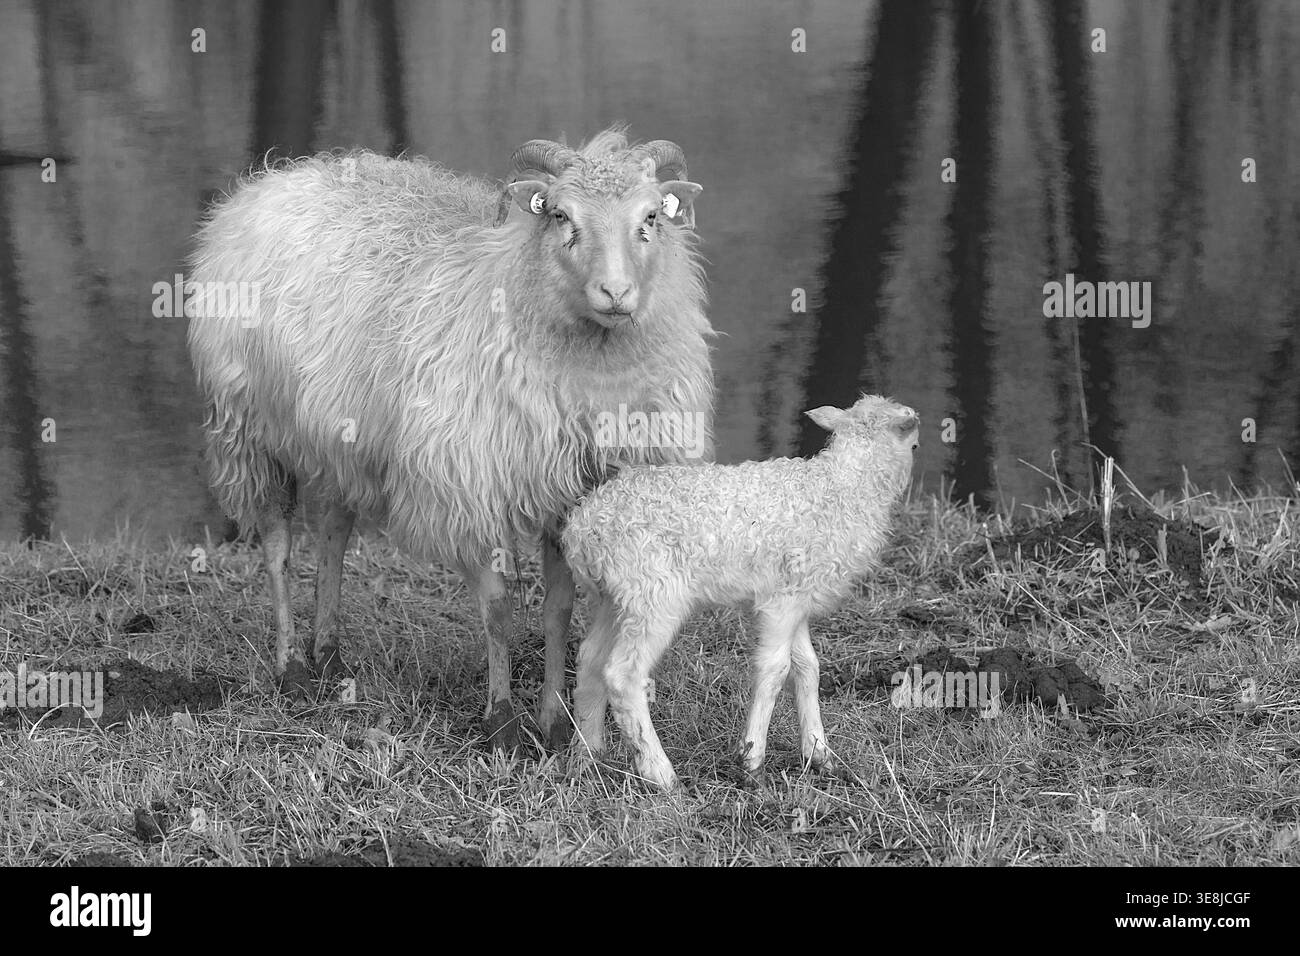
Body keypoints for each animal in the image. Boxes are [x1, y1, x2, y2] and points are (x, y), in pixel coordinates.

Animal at [186, 127, 715, 749]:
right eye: (561, 215)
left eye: (651, 216)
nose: (616, 292)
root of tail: (276, 177)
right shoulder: (469, 485)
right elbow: (497, 611)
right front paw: (502, 720)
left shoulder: (571, 491)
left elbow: (558, 610)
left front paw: (555, 722)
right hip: (251, 429)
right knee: (277, 544)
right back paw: (291, 666)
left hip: (339, 433)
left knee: (334, 533)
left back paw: (330, 652)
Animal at [561, 394, 919, 790]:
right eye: (914, 444)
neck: (844, 489)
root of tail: (584, 527)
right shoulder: (781, 603)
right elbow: (775, 669)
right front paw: (751, 762)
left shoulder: (795, 598)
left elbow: (806, 667)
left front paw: (819, 754)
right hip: (654, 594)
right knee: (623, 676)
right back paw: (661, 775)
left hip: (615, 598)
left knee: (591, 659)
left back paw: (586, 757)